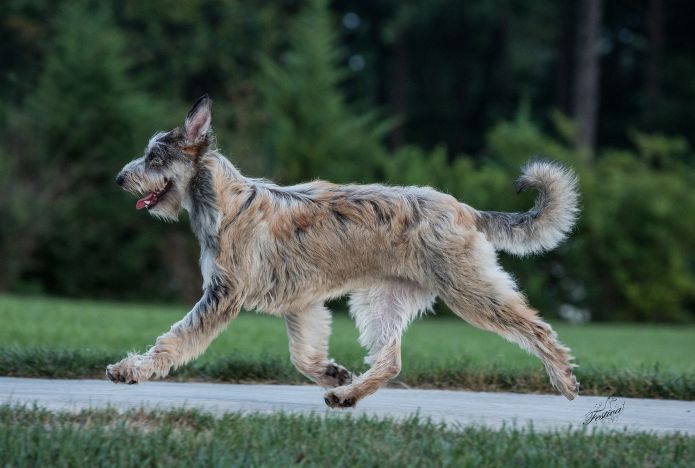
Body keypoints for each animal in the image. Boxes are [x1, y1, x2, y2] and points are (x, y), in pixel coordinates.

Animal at [107, 95, 580, 406]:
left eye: (154, 157)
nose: (119, 178)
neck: (227, 202)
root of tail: (466, 210)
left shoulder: (222, 297)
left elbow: (175, 339)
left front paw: (132, 370)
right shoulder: (301, 305)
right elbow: (303, 355)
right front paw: (331, 372)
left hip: (470, 291)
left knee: (537, 328)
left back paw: (564, 379)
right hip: (380, 302)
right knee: (390, 361)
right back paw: (347, 394)